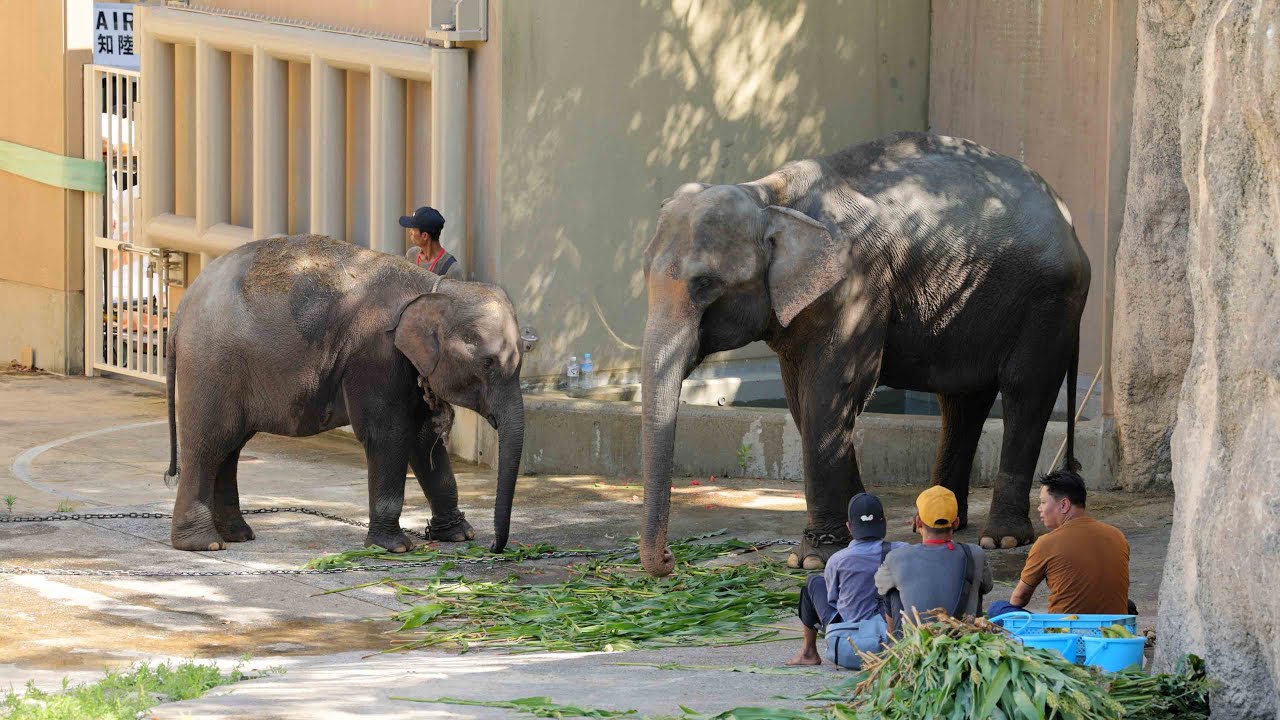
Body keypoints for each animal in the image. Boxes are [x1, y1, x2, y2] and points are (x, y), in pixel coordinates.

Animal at [163, 234, 525, 554]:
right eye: (489, 363)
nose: (494, 546)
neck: (435, 288)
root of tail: (181, 311)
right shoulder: (375, 355)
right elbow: (388, 434)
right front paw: (395, 548)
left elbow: (423, 439)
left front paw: (459, 536)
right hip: (211, 367)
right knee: (209, 444)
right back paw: (204, 545)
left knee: (230, 448)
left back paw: (238, 535)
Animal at [639, 132, 1090, 576]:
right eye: (644, 273)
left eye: (705, 283)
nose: (669, 559)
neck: (769, 195)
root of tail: (1069, 219)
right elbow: (801, 401)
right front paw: (855, 530)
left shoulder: (856, 286)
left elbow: (831, 392)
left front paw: (813, 558)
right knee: (962, 402)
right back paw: (938, 522)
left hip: (1049, 302)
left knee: (1024, 391)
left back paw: (1003, 539)